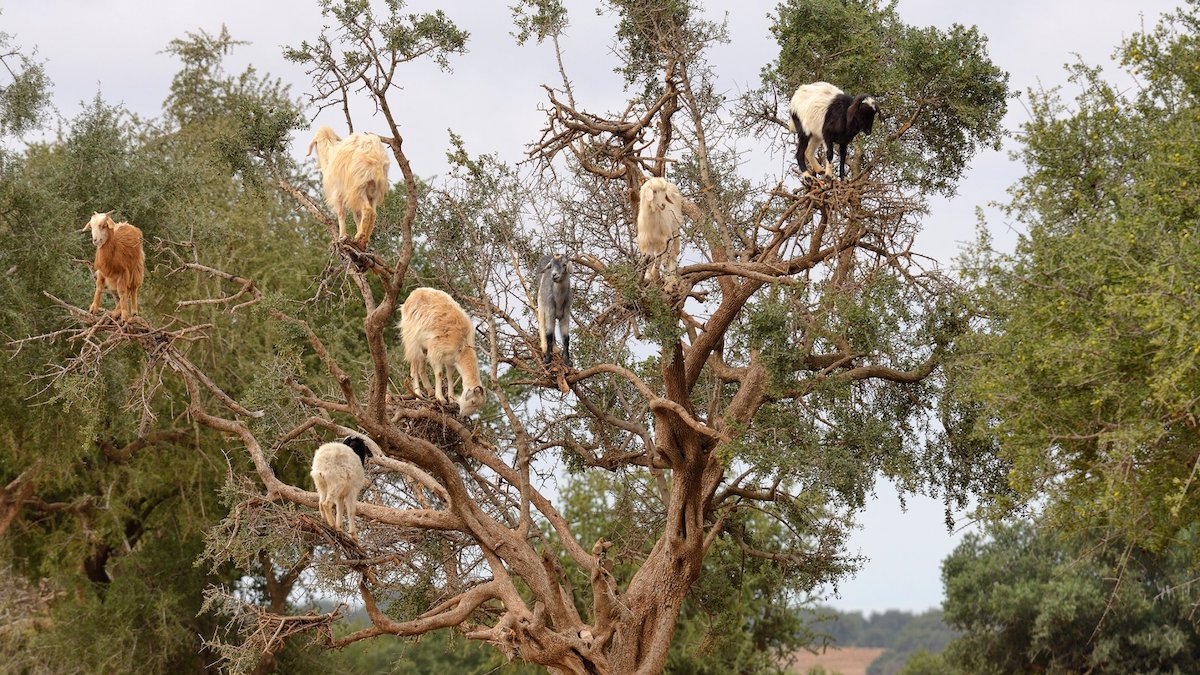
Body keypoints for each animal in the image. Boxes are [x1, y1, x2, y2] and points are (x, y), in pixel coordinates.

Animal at [396, 284, 484, 415]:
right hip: (412, 341)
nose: (462, 414)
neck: (462, 346)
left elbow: (450, 377)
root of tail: (413, 294)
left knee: (421, 369)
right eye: (473, 401)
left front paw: (451, 400)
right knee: (413, 370)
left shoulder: (450, 360)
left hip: (423, 348)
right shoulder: (436, 352)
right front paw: (441, 399)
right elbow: (439, 373)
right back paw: (418, 397)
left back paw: (430, 392)